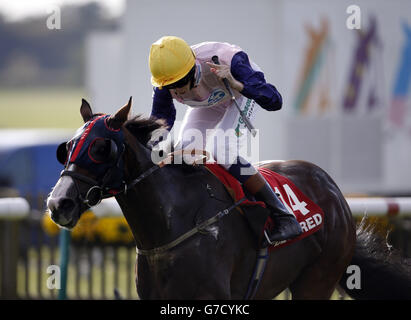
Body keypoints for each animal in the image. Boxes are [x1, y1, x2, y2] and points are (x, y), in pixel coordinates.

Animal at [46, 98, 411, 300]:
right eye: (67, 147)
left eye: (101, 148)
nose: (58, 204)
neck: (173, 224)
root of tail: (333, 191)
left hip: (317, 279)